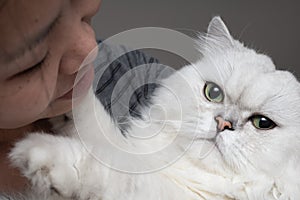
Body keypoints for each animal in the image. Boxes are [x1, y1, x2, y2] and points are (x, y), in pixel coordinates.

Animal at [8, 17, 300, 200]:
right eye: (213, 93)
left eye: (263, 123)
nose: (222, 123)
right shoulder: (137, 151)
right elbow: (100, 129)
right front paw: (67, 88)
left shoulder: (152, 189)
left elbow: (113, 171)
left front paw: (38, 154)